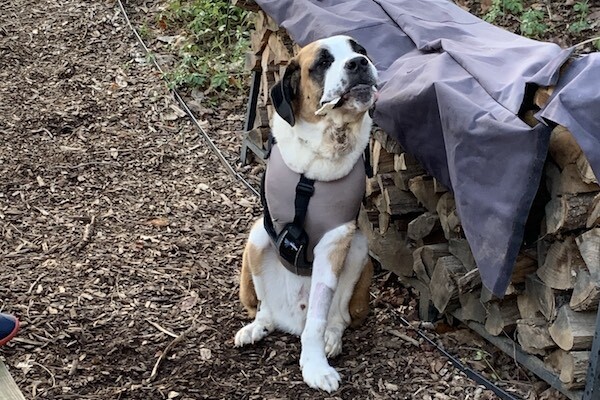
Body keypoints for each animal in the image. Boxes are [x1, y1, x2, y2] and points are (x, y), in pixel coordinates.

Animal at [233, 36, 378, 392]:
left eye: (361, 50)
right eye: (323, 62)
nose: (358, 63)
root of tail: (291, 322)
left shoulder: (335, 241)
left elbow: (319, 315)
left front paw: (315, 365)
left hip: (358, 248)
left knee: (337, 318)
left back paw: (331, 339)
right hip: (257, 237)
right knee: (265, 309)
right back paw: (257, 327)